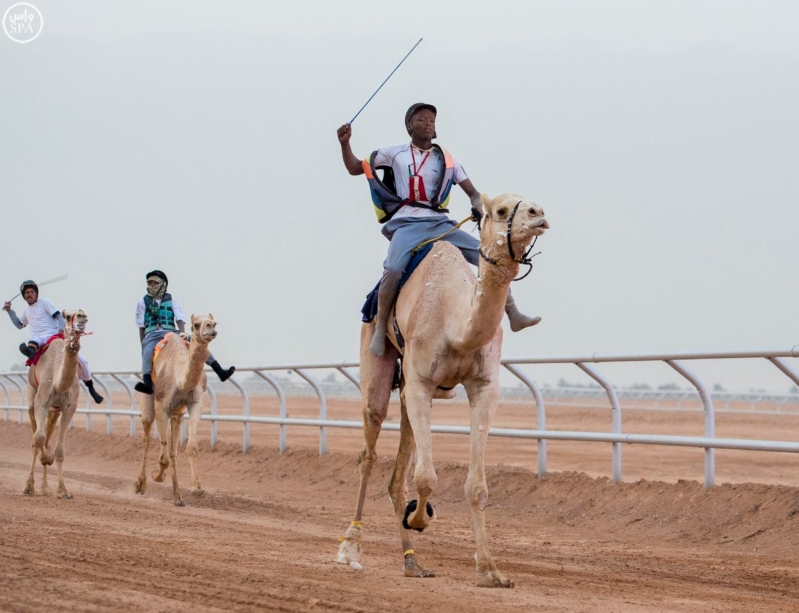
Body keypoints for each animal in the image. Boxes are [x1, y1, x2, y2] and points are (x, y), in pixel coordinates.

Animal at [24, 308, 90, 500]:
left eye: (83, 313)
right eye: (67, 316)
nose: (82, 316)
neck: (58, 382)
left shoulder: (69, 408)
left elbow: (59, 450)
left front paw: (63, 490)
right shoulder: (41, 404)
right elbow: (38, 439)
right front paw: (45, 460)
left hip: (54, 412)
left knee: (47, 439)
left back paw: (45, 487)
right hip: (32, 399)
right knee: (35, 442)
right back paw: (30, 486)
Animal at [135, 314, 219, 504]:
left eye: (214, 322)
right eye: (196, 324)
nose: (211, 328)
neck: (180, 378)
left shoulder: (195, 403)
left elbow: (190, 448)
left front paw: (197, 488)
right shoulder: (161, 406)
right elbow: (163, 457)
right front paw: (157, 476)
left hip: (177, 414)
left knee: (173, 451)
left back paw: (178, 497)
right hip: (148, 403)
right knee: (147, 438)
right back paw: (140, 484)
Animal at [338, 191, 552, 584]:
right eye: (501, 210)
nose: (538, 214)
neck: (456, 324)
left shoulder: (484, 386)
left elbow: (477, 486)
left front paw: (490, 570)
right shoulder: (421, 383)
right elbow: (425, 477)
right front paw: (419, 517)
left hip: (408, 392)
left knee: (397, 472)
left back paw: (413, 563)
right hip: (377, 361)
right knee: (369, 450)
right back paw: (350, 547)